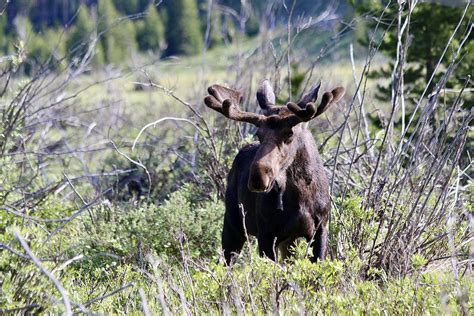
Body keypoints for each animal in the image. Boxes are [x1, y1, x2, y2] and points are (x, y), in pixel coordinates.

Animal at [205, 79, 344, 264]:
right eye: (258, 134)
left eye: (289, 135)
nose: (258, 177)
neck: (301, 195)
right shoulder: (266, 233)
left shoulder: (321, 227)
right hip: (233, 223)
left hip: (287, 241)